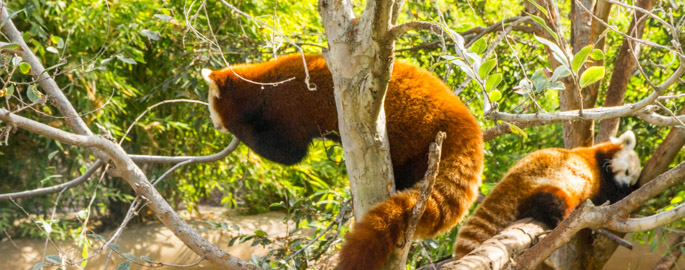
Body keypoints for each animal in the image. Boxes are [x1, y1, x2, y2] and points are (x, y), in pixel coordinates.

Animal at [200, 53, 484, 268]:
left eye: (211, 108)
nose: (213, 126)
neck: (261, 85)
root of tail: (465, 124)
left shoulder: (289, 110)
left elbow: (287, 154)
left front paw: (237, 129)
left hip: (414, 131)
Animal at [452, 132, 640, 258]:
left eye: (631, 177)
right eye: (627, 172)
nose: (627, 185)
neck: (599, 153)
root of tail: (509, 182)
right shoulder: (601, 179)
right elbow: (610, 196)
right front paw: (627, 193)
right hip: (546, 184)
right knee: (553, 202)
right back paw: (558, 220)